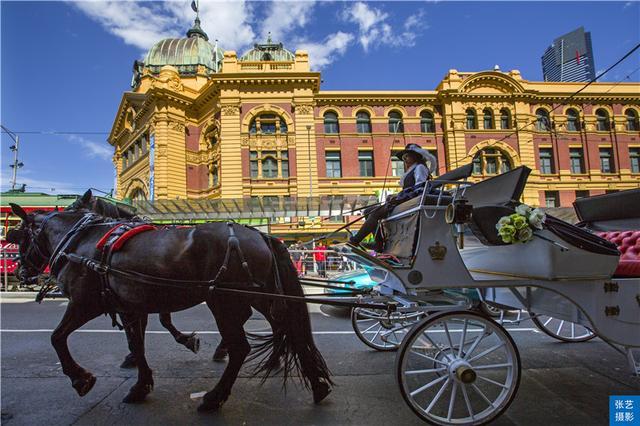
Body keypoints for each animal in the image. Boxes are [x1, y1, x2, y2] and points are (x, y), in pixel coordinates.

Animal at [7, 203, 332, 412]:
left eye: (20, 236)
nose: (21, 273)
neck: (84, 242)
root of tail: (260, 234)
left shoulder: (85, 303)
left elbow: (57, 337)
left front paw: (80, 378)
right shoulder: (131, 307)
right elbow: (137, 345)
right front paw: (141, 384)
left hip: (224, 301)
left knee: (243, 346)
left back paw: (215, 397)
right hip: (257, 295)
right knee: (288, 328)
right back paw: (317, 384)